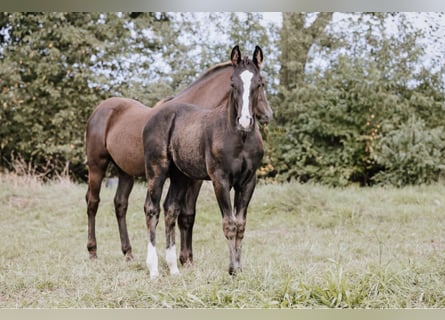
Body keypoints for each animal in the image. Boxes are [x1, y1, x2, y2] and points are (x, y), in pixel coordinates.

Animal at [83, 53, 270, 262]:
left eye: (260, 83)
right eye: (234, 85)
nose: (267, 114)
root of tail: (99, 110)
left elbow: (184, 214)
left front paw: (185, 257)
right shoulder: (195, 179)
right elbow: (185, 214)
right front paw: (185, 257)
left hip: (125, 171)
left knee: (120, 204)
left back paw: (128, 252)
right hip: (97, 165)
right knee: (92, 202)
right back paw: (92, 251)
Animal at [142, 45, 270, 278]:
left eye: (260, 83)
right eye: (232, 83)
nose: (245, 121)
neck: (240, 138)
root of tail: (154, 116)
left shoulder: (248, 182)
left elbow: (241, 225)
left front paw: (238, 269)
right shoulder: (220, 180)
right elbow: (229, 224)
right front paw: (232, 270)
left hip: (180, 176)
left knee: (170, 209)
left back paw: (174, 269)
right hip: (156, 170)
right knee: (152, 209)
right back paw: (154, 270)